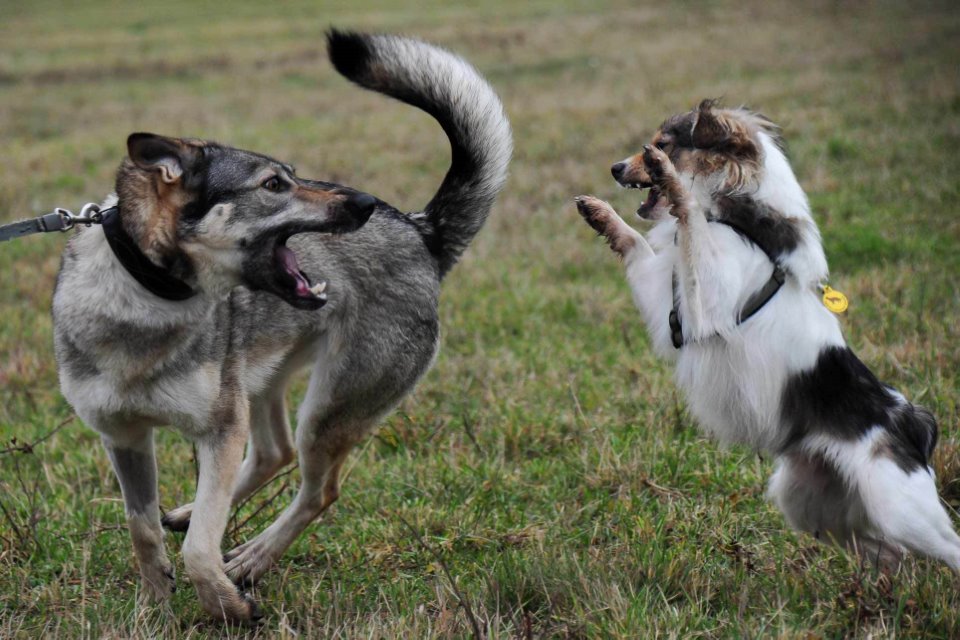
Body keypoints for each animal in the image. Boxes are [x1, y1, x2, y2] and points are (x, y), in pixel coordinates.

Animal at [52, 30, 512, 620]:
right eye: (273, 184)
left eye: (292, 176)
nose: (363, 201)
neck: (146, 299)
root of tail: (420, 230)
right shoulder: (124, 437)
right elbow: (144, 530)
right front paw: (155, 605)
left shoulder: (220, 427)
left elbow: (201, 546)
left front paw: (227, 605)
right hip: (260, 381)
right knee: (274, 453)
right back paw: (194, 515)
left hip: (328, 408)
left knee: (317, 490)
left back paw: (253, 557)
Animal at [576, 100, 960, 568]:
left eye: (663, 144)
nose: (615, 168)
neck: (735, 217)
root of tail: (910, 419)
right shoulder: (668, 303)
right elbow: (636, 242)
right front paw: (600, 215)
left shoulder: (706, 303)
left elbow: (690, 219)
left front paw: (671, 181)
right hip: (812, 505)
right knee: (889, 552)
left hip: (901, 509)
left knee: (942, 548)